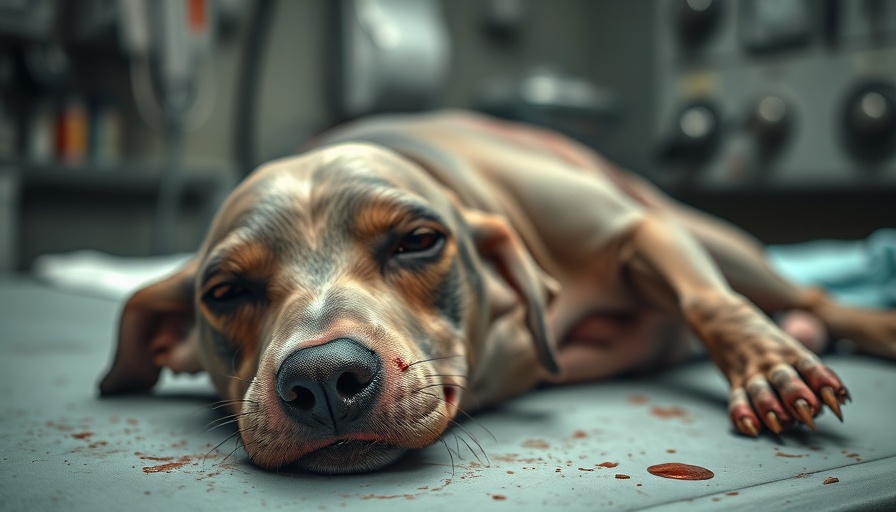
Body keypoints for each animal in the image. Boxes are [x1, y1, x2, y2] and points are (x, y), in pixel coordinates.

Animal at [100, 110, 896, 474]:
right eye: (225, 291)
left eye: (418, 240)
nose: (325, 379)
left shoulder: (638, 228)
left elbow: (708, 302)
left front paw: (770, 369)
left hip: (717, 239)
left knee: (809, 295)